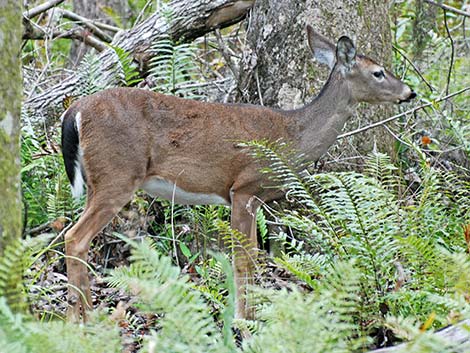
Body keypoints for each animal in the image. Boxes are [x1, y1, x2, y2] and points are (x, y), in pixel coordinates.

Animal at [59, 26, 414, 320]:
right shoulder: (245, 187)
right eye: (378, 72)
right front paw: (244, 319)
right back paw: (84, 319)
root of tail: (75, 111)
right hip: (117, 175)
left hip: (99, 179)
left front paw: (249, 313)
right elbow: (245, 256)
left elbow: (251, 255)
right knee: (75, 237)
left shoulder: (252, 198)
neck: (292, 136)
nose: (409, 92)